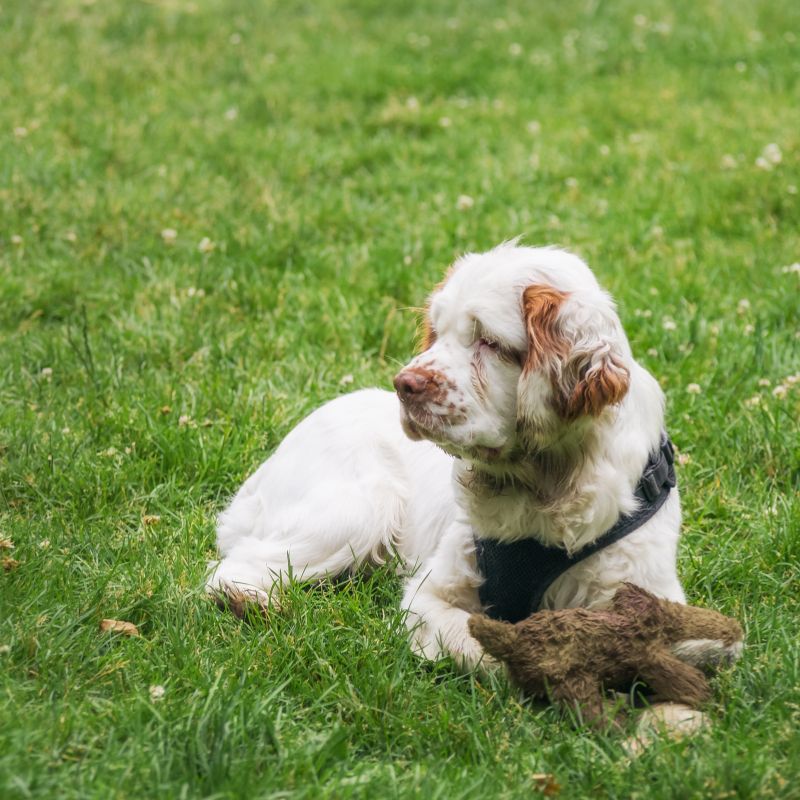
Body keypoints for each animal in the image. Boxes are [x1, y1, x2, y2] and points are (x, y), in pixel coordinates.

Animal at [206, 242, 736, 668]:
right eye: (437, 332)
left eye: (489, 341)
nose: (405, 384)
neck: (544, 484)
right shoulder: (431, 595)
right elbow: (485, 646)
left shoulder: (649, 591)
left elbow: (708, 645)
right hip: (358, 510)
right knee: (232, 569)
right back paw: (251, 603)